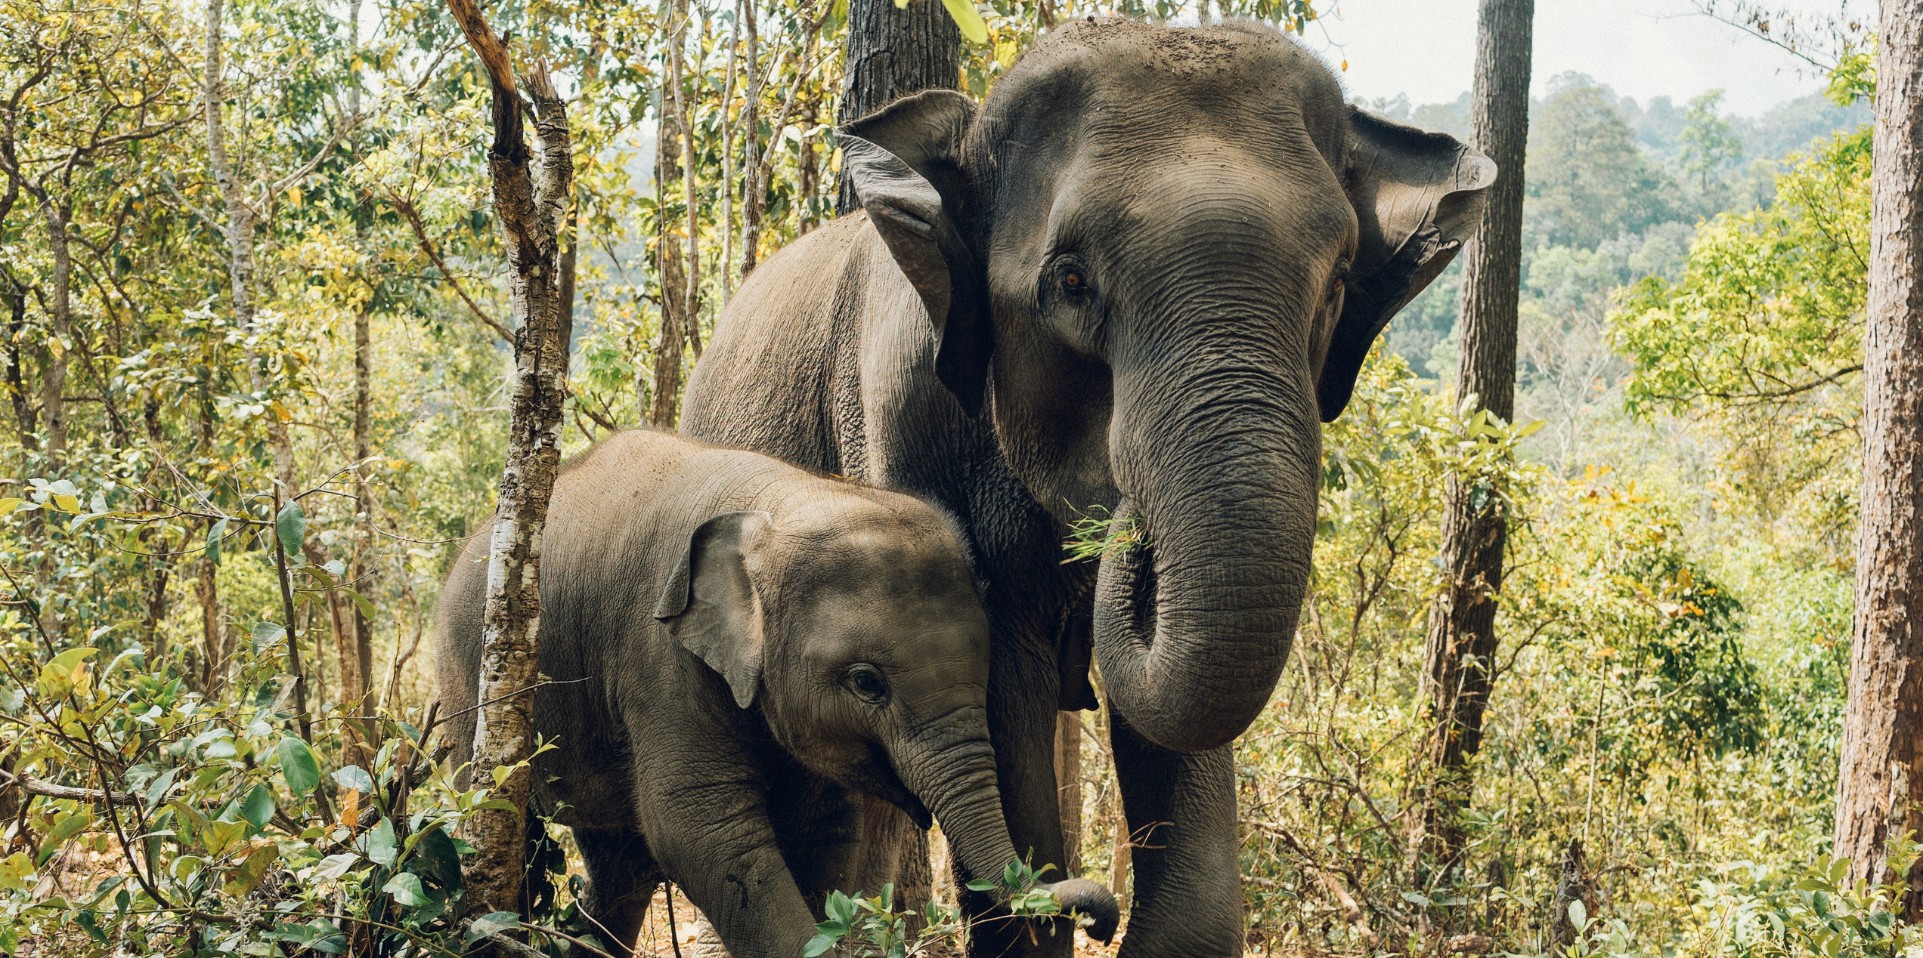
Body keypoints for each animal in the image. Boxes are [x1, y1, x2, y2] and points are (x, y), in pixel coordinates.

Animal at [438, 432, 1123, 958]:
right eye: (867, 683)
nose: (1101, 918)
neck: (780, 502)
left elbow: (825, 831)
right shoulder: (660, 656)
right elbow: (701, 829)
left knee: (620, 865)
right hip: (467, 684)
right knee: (508, 829)